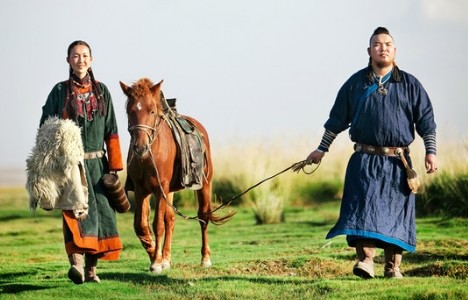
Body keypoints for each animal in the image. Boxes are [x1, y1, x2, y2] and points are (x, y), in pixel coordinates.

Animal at [119, 78, 232, 274]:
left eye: (152, 111)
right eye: (130, 111)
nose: (140, 147)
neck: (150, 154)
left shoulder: (160, 188)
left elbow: (157, 225)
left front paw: (156, 263)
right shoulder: (142, 190)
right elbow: (142, 225)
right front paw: (155, 256)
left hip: (204, 185)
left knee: (202, 217)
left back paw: (205, 258)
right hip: (170, 191)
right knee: (170, 220)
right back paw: (166, 258)